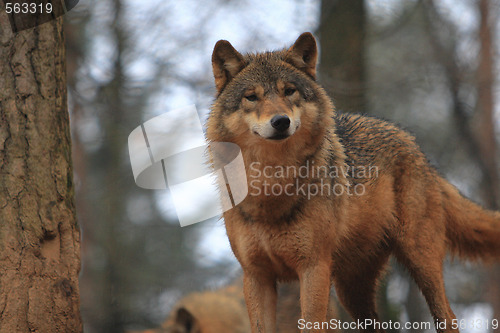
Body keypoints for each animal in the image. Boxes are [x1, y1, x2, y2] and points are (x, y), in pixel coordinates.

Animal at [205, 31, 500, 332]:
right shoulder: (256, 276)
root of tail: (414, 145)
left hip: (421, 263)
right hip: (350, 291)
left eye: (289, 91)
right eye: (252, 97)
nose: (280, 121)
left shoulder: (313, 268)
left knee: (448, 317)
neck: (270, 184)